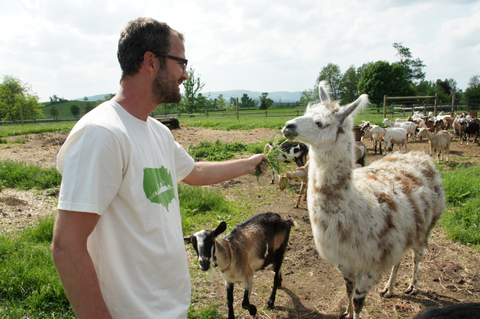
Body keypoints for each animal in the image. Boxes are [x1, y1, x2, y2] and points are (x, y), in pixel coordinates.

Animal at [282, 80, 446, 319]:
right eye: (305, 112)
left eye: (320, 123)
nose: (288, 126)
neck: (356, 207)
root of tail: (420, 156)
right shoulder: (346, 262)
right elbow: (348, 291)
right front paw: (345, 312)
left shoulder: (370, 264)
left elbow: (358, 301)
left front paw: (354, 312)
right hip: (402, 235)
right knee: (399, 259)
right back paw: (389, 289)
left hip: (428, 226)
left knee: (418, 257)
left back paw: (412, 286)